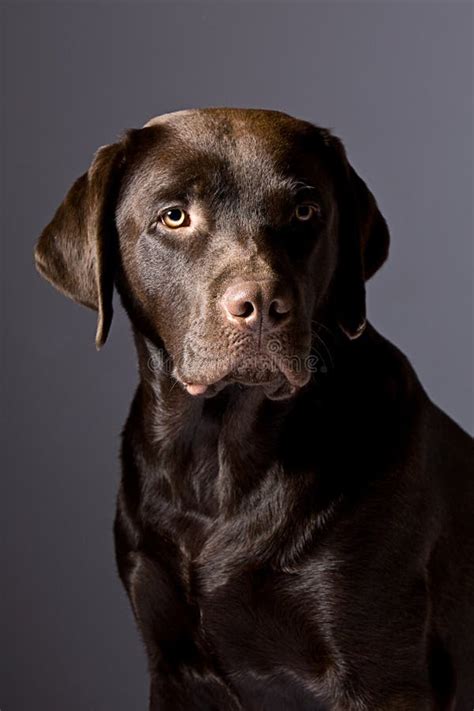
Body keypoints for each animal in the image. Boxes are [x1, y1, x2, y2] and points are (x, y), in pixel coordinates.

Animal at [35, 107, 472, 711]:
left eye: (305, 212)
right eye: (174, 216)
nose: (263, 305)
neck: (216, 464)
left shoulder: (384, 680)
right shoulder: (173, 670)